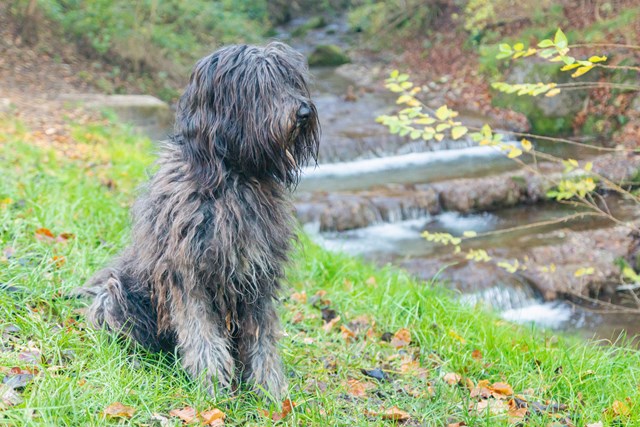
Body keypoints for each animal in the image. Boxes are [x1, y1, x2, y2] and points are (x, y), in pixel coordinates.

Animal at [84, 41, 320, 400]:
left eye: (292, 80)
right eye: (261, 86)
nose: (304, 112)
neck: (234, 176)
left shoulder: (257, 276)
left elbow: (262, 338)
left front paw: (270, 390)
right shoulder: (185, 272)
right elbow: (201, 333)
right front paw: (212, 386)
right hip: (114, 294)